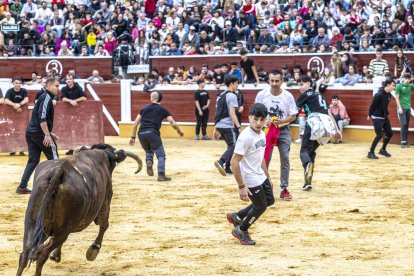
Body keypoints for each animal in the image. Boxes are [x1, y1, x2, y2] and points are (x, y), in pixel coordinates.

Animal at [16, 143, 142, 274]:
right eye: (113, 164)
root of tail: (59, 171)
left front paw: (55, 255)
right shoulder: (106, 199)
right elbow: (104, 225)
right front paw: (94, 249)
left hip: (31, 223)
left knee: (24, 256)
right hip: (64, 229)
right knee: (41, 255)